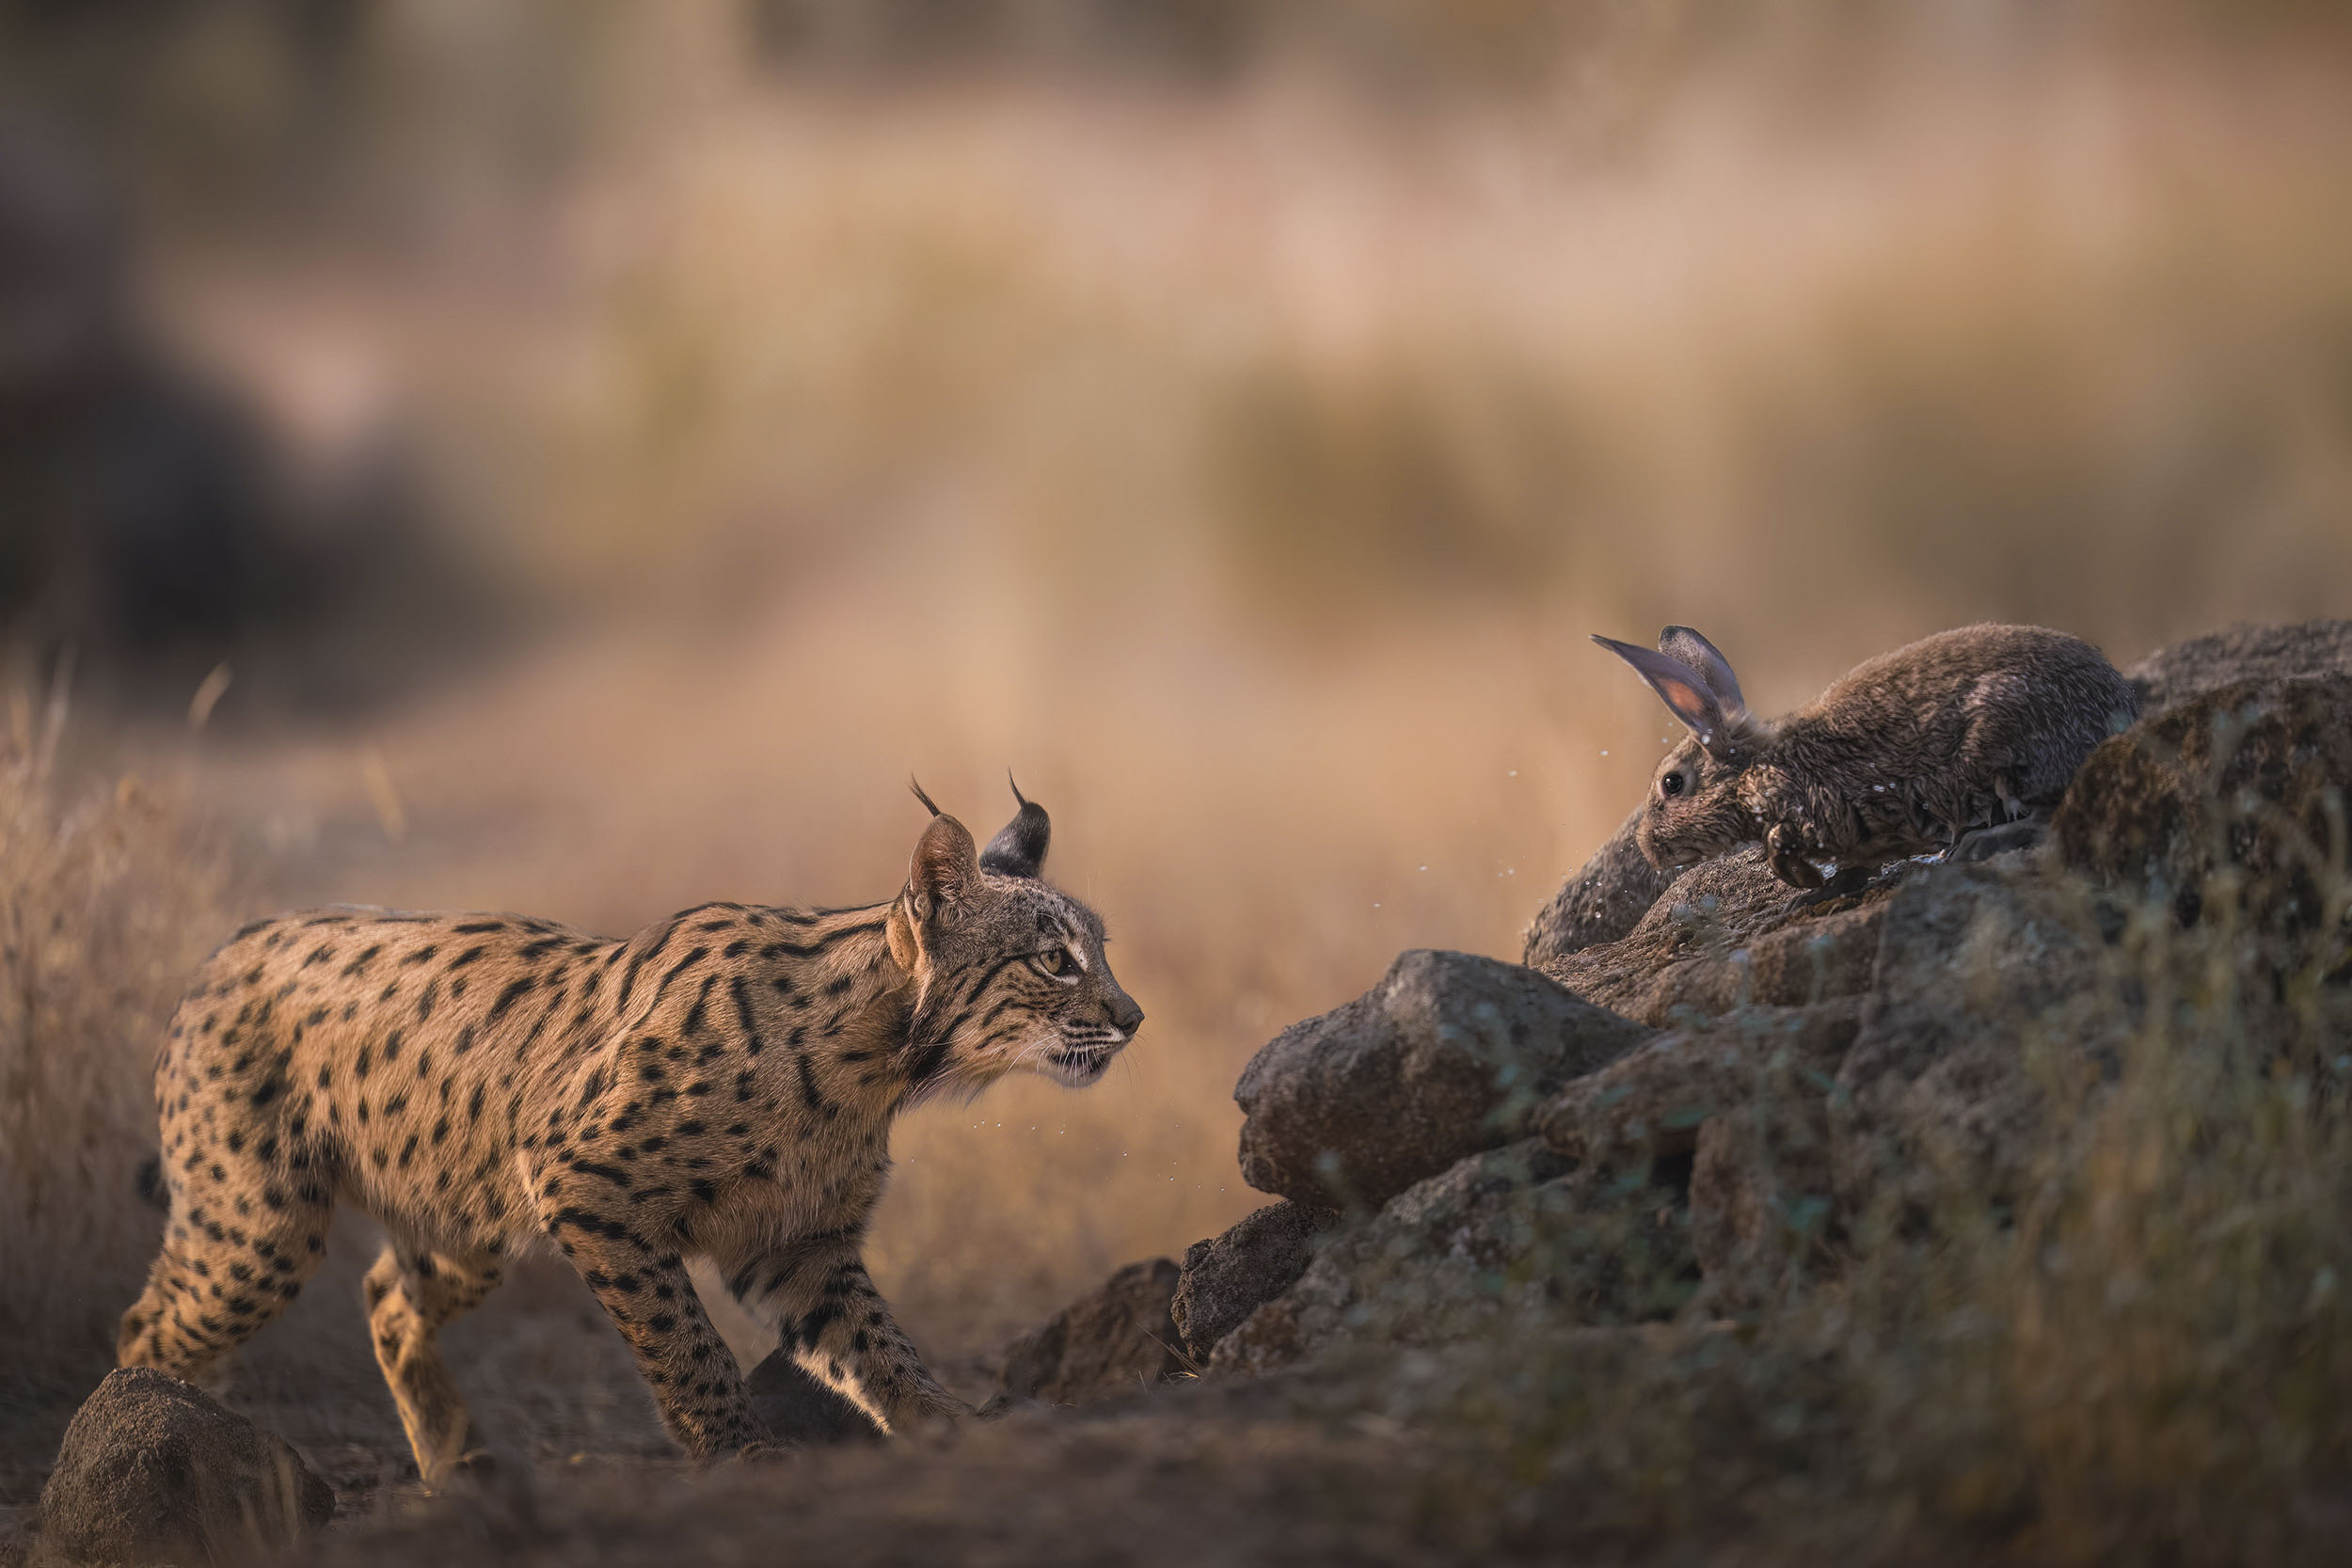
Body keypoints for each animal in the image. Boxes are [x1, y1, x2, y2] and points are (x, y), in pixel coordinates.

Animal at [1592, 623, 2139, 891]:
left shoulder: (1818, 811)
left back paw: (1970, 846)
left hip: (2001, 740)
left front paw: (1809, 882)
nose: (1648, 850)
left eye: (1672, 784)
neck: (1756, 770)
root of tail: (2120, 714)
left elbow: (1779, 844)